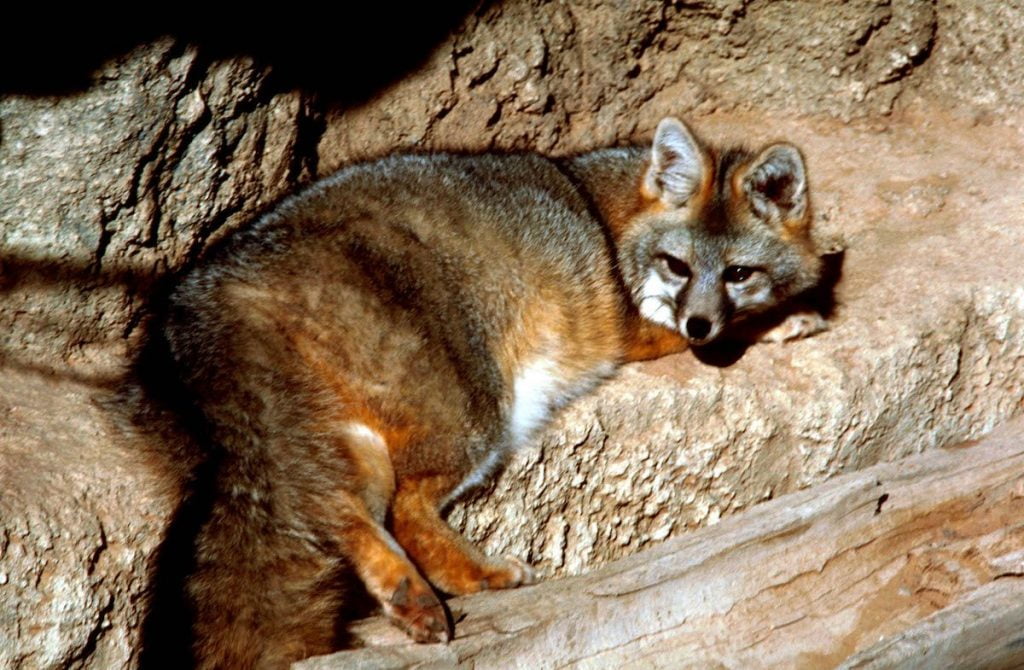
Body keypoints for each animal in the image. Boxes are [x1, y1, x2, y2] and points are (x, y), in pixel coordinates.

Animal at [159, 116, 824, 668]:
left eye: (738, 273)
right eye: (677, 266)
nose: (699, 323)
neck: (613, 213)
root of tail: (216, 281)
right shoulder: (634, 326)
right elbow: (725, 330)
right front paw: (786, 318)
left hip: (352, 442)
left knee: (339, 511)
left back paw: (408, 594)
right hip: (475, 417)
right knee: (402, 510)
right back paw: (467, 581)